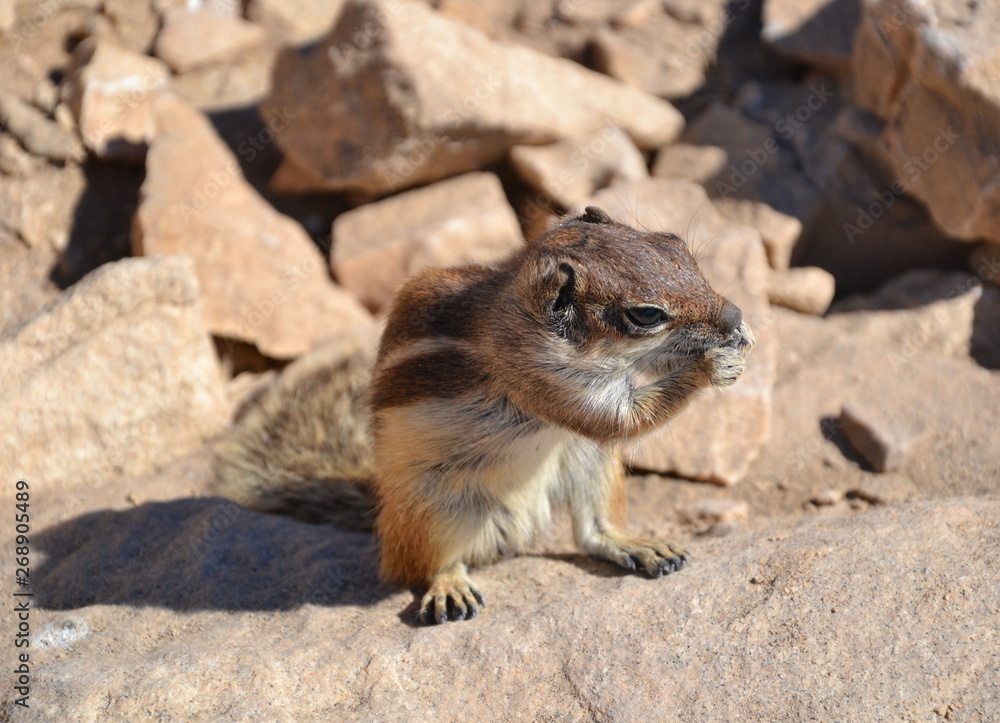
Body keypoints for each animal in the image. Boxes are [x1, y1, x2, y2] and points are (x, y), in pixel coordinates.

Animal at [215, 206, 754, 624]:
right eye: (646, 315)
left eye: (675, 244)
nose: (733, 315)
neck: (518, 314)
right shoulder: (542, 379)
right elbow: (618, 421)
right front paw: (712, 365)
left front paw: (739, 339)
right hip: (437, 510)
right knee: (424, 565)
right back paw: (448, 586)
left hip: (588, 464)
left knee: (591, 531)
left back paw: (635, 544)